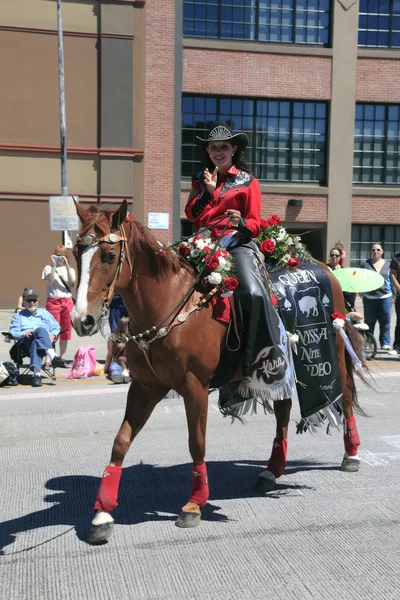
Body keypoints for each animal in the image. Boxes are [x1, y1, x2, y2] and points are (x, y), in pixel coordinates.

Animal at [71, 200, 362, 544]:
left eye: (108, 255)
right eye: (76, 251)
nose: (81, 320)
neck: (171, 303)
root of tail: (323, 266)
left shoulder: (193, 386)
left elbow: (196, 442)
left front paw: (194, 504)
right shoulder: (145, 386)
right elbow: (121, 441)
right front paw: (102, 513)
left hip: (335, 353)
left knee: (344, 395)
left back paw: (351, 454)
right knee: (283, 409)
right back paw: (271, 470)